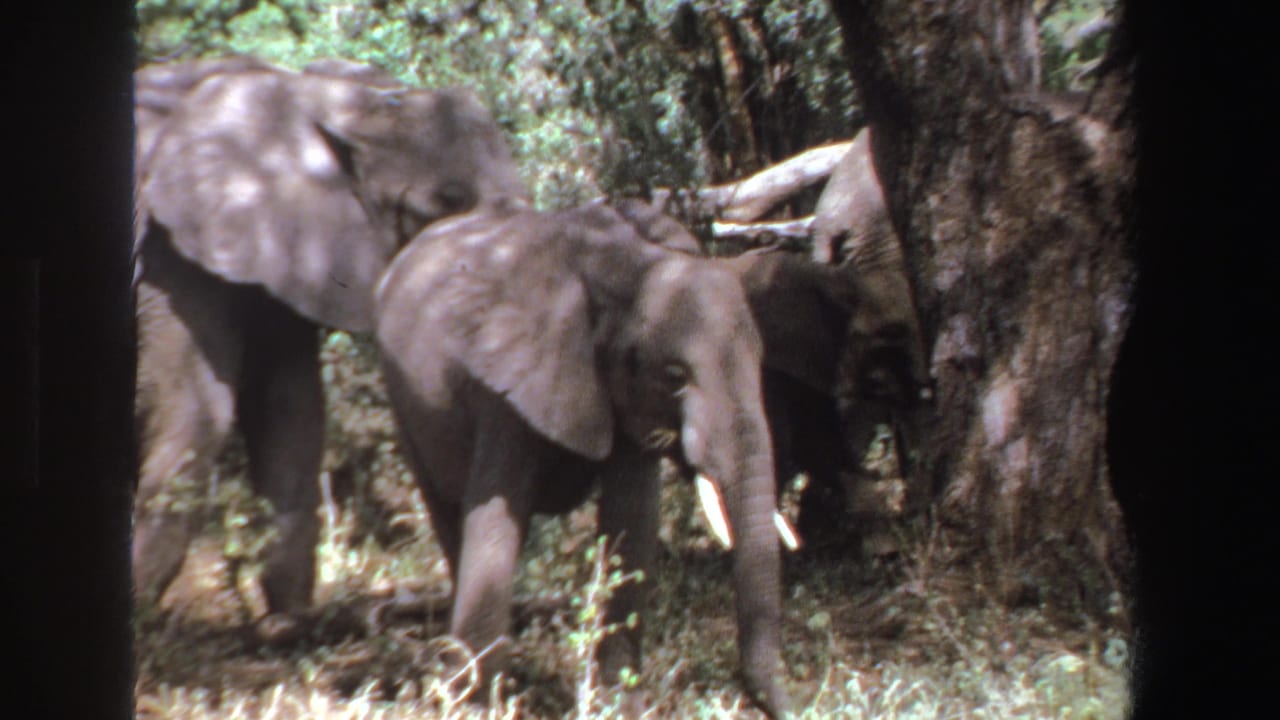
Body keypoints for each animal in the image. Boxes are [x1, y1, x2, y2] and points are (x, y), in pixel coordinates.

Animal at [131, 57, 529, 623]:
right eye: (446, 201)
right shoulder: (171, 254)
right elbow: (192, 409)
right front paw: (140, 608)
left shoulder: (280, 255)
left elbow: (291, 409)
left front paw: (286, 623)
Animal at [374, 201, 791, 717]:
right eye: (675, 376)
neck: (628, 265)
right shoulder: (509, 381)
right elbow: (494, 521)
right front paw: (480, 706)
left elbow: (631, 521)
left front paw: (620, 702)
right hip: (402, 397)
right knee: (447, 515)